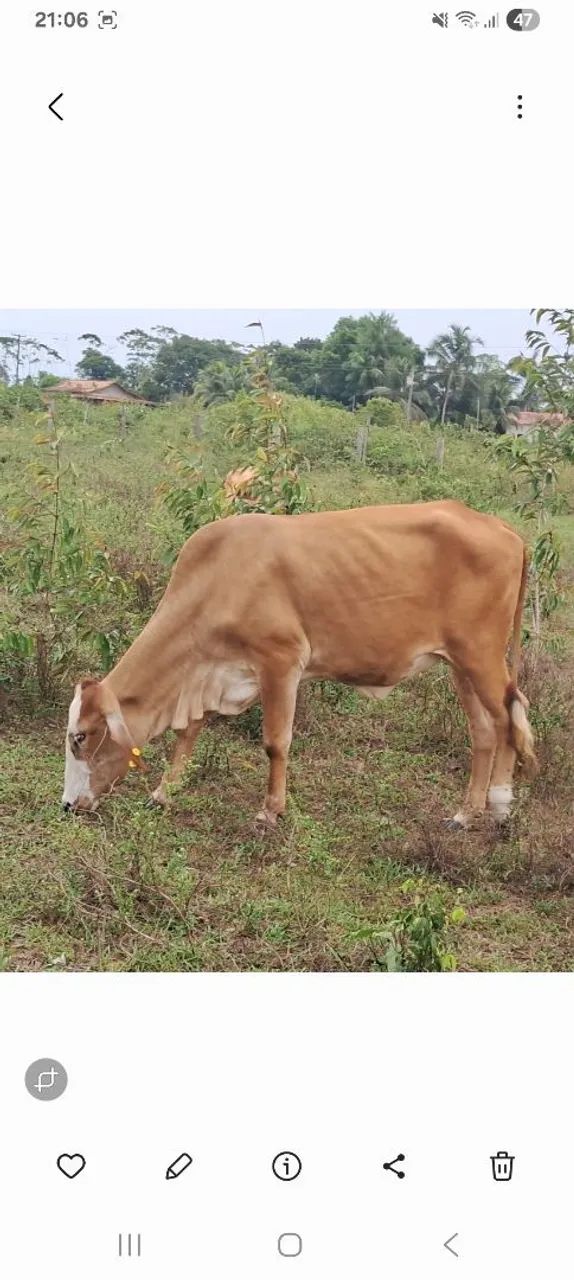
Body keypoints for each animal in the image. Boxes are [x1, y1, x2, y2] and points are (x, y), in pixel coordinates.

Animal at [62, 500, 536, 829]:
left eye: (80, 738)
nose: (67, 805)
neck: (218, 580)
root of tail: (506, 531)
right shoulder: (216, 672)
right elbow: (190, 731)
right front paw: (164, 791)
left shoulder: (281, 661)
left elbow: (276, 742)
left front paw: (271, 811)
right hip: (458, 664)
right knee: (484, 731)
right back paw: (465, 813)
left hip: (480, 655)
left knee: (509, 719)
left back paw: (498, 805)